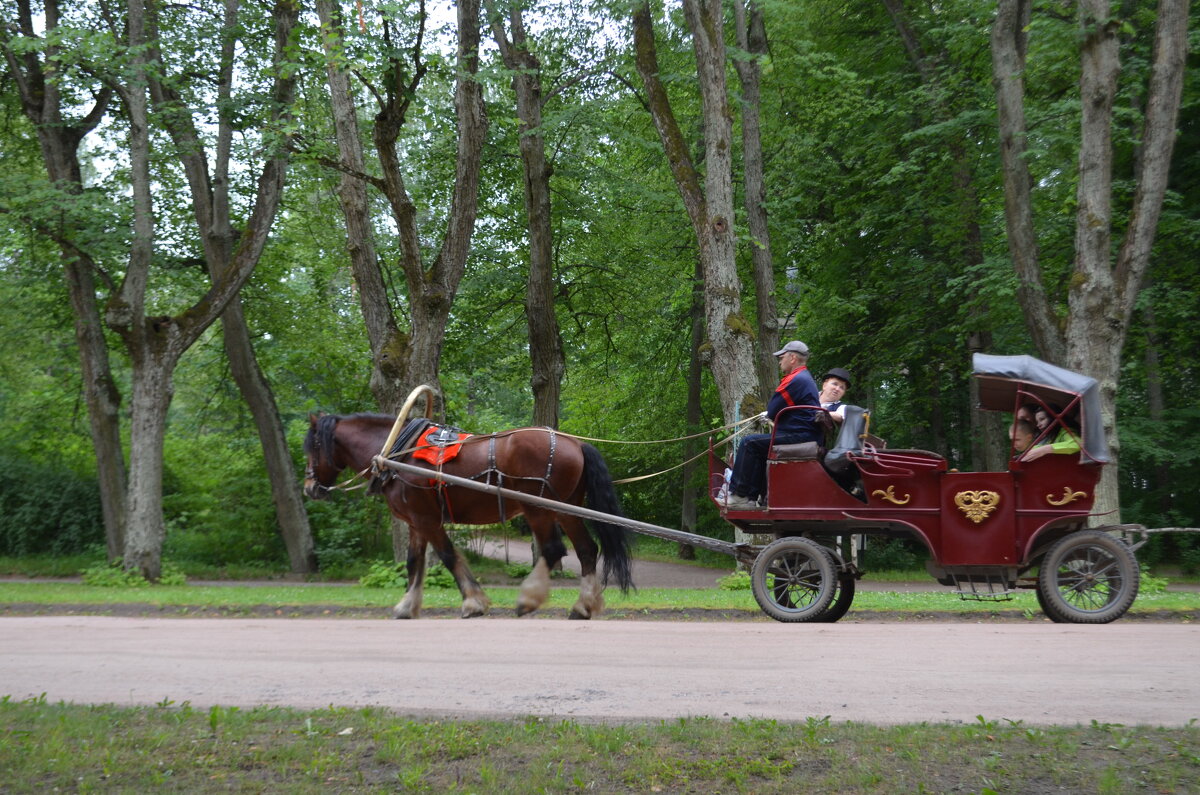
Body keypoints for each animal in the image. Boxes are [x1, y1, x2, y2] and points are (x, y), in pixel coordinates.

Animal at [304, 413, 633, 624]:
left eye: (313, 447)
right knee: (587, 550)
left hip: (538, 508)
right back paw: (583, 606)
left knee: (553, 549)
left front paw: (473, 602)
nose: (309, 488)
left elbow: (448, 556)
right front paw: (407, 606)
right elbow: (414, 563)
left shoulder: (427, 520)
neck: (398, 451)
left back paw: (529, 599)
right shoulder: (415, 522)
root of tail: (575, 443)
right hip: (566, 508)